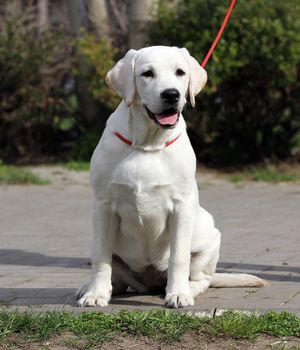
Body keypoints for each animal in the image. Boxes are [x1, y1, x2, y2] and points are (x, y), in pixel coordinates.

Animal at [77, 45, 264, 308]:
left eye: (180, 72)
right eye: (147, 73)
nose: (171, 95)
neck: (148, 145)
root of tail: (149, 283)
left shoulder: (181, 206)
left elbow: (179, 257)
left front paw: (178, 294)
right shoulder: (103, 205)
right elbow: (101, 258)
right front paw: (96, 294)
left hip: (210, 238)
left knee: (202, 279)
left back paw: (187, 289)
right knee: (118, 277)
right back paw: (91, 287)